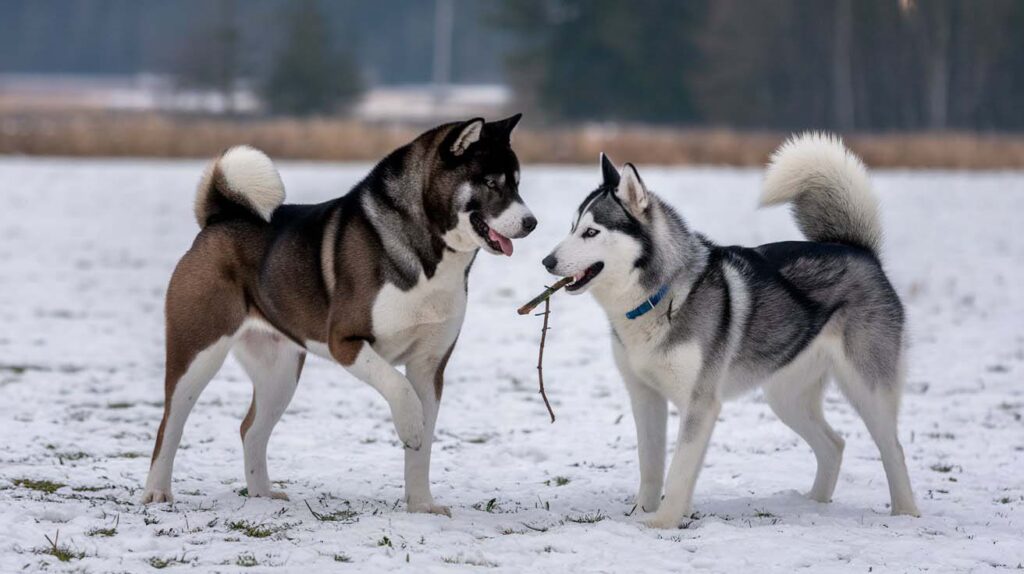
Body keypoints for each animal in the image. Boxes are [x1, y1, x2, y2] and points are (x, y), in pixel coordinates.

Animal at [143, 113, 536, 515]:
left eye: (517, 184)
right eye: (490, 183)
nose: (530, 222)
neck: (428, 250)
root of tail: (220, 218)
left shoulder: (429, 366)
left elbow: (422, 449)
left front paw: (422, 506)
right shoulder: (345, 342)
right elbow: (399, 389)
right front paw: (410, 426)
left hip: (279, 372)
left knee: (250, 429)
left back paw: (262, 494)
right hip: (197, 352)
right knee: (168, 425)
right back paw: (157, 493)